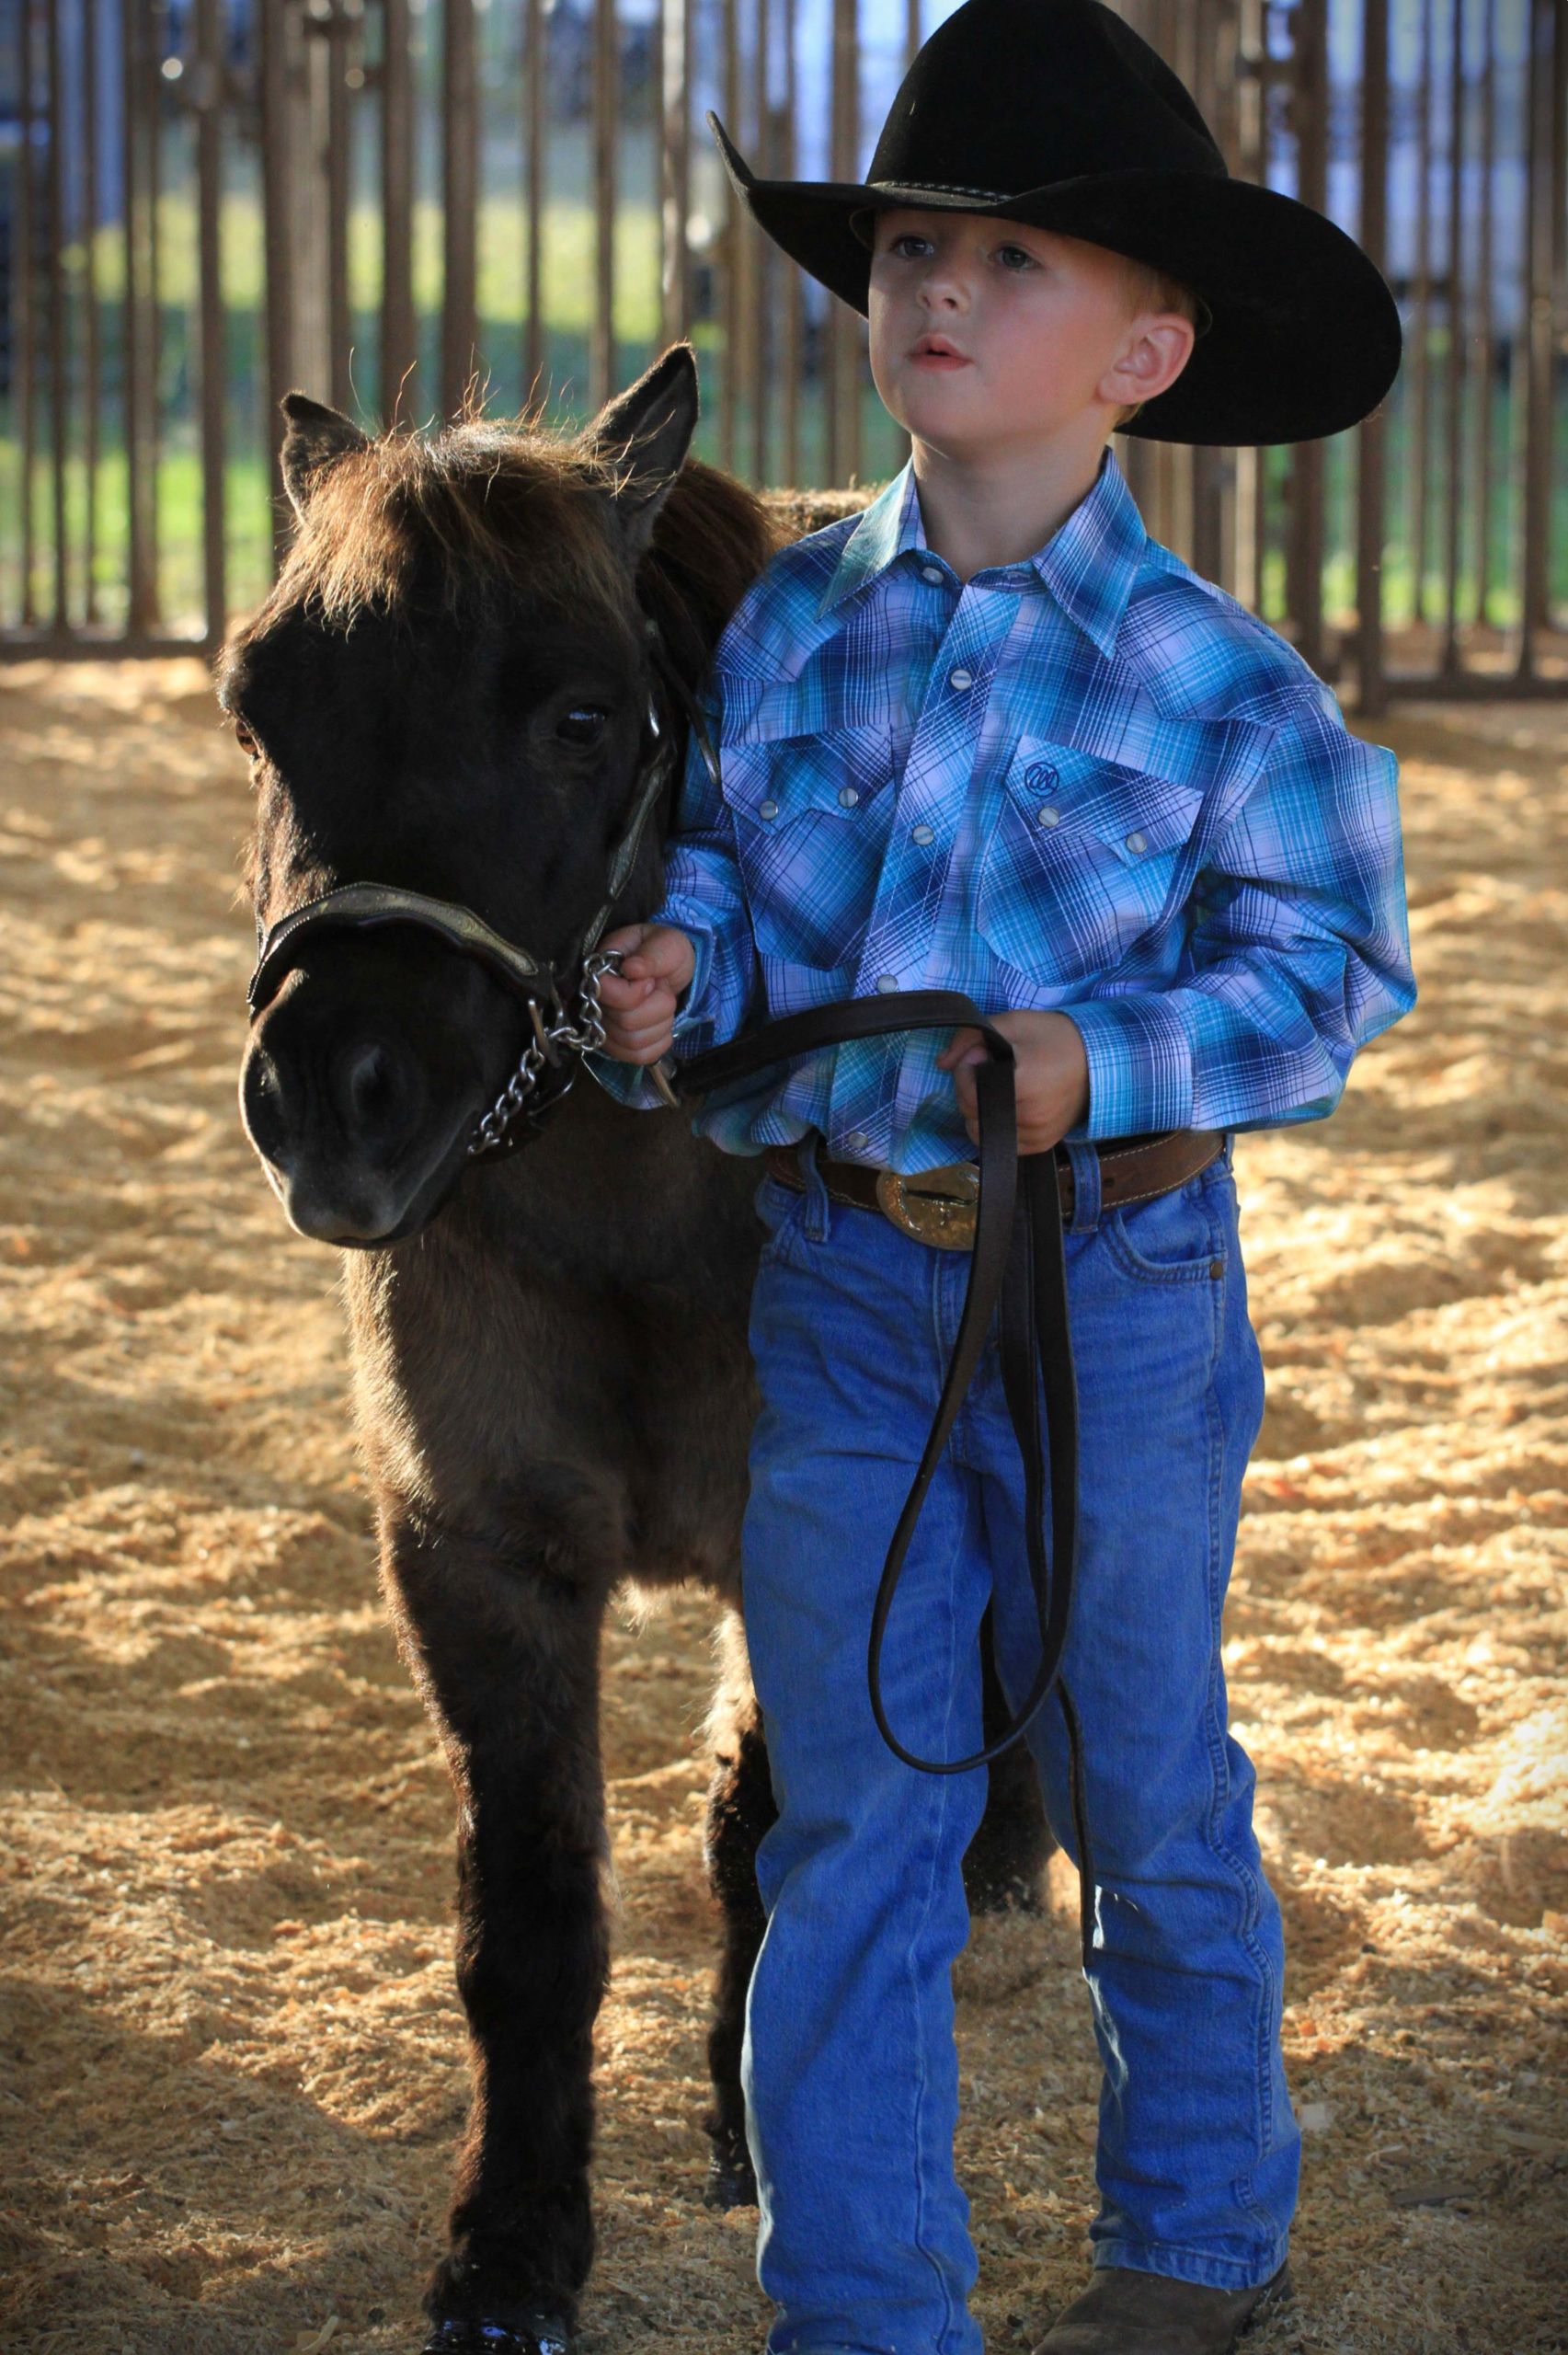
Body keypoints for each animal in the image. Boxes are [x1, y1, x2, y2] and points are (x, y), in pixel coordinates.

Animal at [220, 343, 1045, 2355]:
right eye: (260, 708)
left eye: (585, 718)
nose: (334, 1096)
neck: (635, 1207)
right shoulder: (480, 1556)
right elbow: (527, 1920)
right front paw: (512, 2243)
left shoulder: (810, 1531)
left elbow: (769, 1837)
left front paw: (759, 2126)